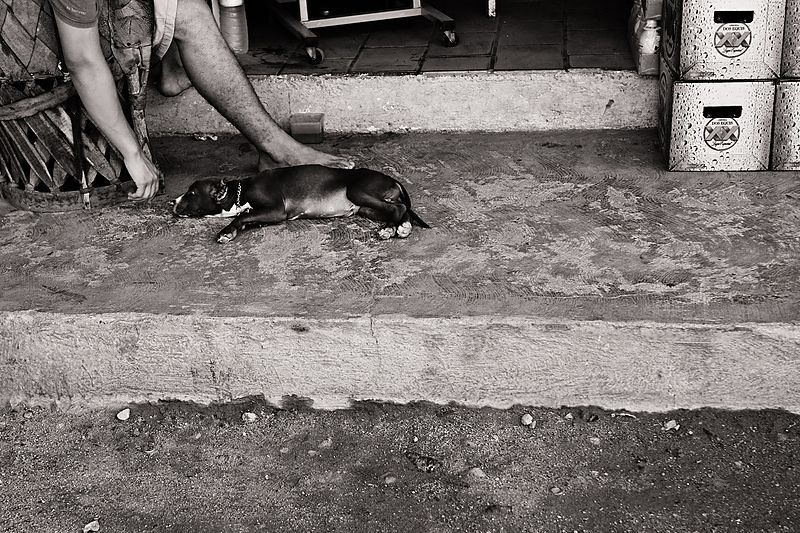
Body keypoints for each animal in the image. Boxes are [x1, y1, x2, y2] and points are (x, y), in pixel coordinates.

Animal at [173, 165, 430, 243]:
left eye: (191, 193)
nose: (172, 202)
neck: (239, 192)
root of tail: (392, 179)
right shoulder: (261, 214)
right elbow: (245, 217)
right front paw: (232, 231)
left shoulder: (276, 210)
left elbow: (241, 216)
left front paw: (226, 232)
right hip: (368, 208)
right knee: (402, 209)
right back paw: (401, 227)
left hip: (358, 191)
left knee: (398, 208)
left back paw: (388, 229)